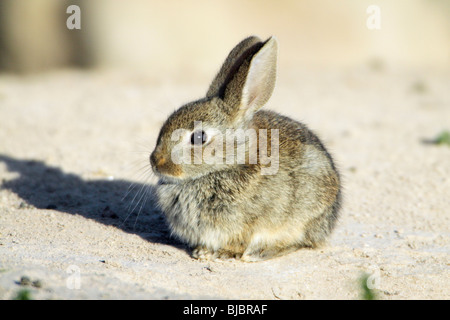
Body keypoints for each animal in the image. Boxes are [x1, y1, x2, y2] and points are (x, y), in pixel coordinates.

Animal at [149, 35, 342, 262]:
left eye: (198, 137)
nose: (155, 162)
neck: (229, 163)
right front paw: (201, 251)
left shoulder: (248, 224)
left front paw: (217, 253)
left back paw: (260, 253)